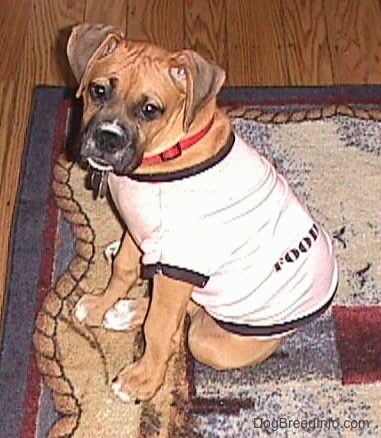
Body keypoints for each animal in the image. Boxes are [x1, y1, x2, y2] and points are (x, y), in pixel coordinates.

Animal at [67, 22, 336, 402]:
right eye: (98, 90)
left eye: (150, 109)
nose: (108, 138)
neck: (168, 150)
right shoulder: (140, 226)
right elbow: (123, 269)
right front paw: (101, 305)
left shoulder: (179, 264)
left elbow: (159, 327)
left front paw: (142, 380)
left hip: (209, 339)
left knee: (186, 321)